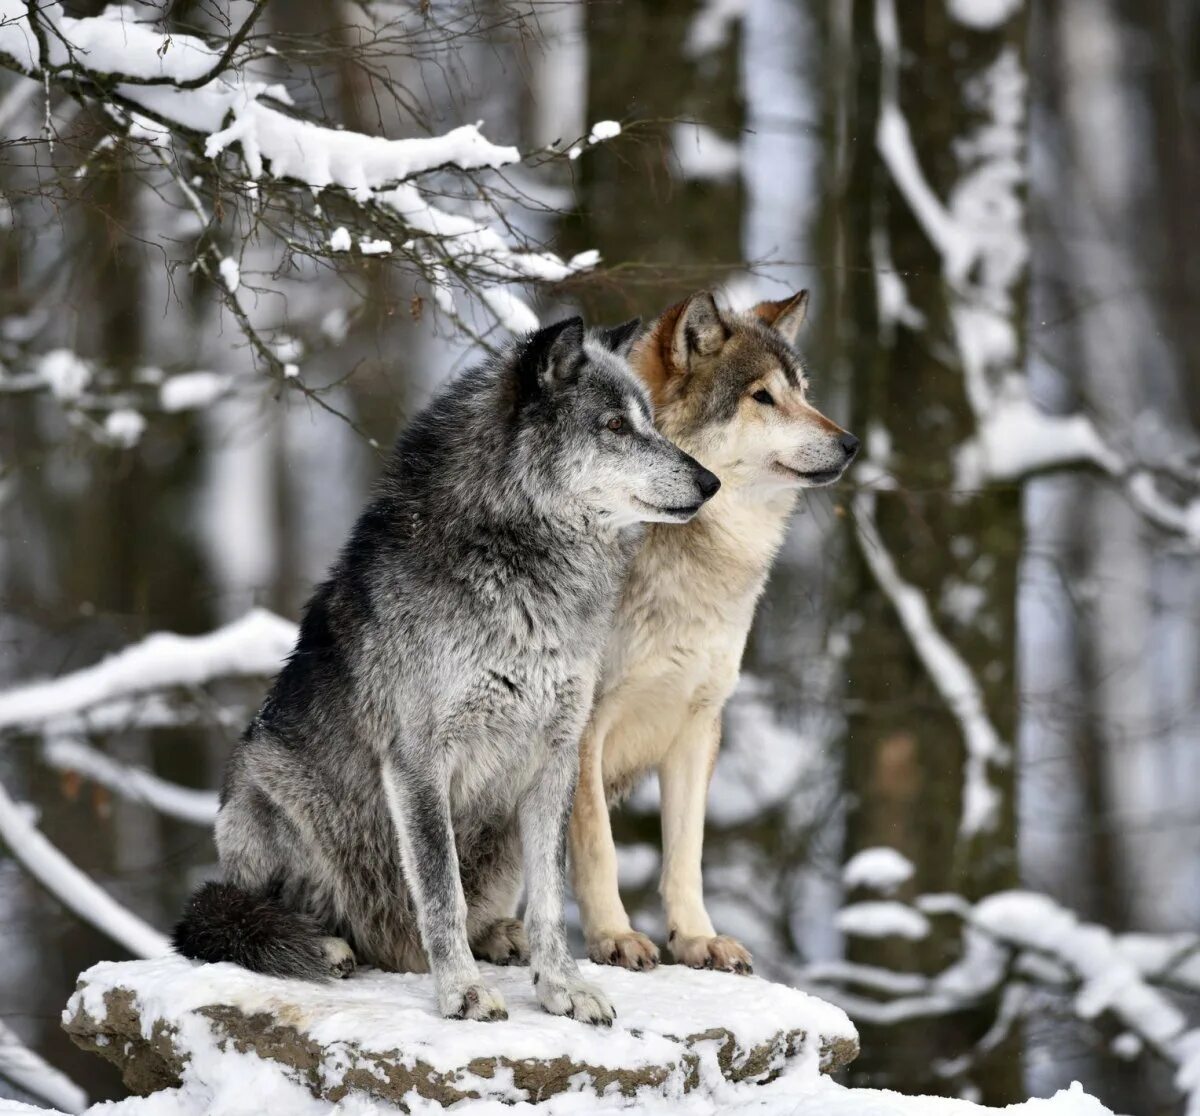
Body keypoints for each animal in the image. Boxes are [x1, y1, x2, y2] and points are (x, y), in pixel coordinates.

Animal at [172, 316, 715, 1022]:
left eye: (648, 420)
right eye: (616, 426)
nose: (711, 483)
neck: (520, 566)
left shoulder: (557, 756)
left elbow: (549, 902)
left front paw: (561, 986)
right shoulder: (418, 762)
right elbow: (440, 893)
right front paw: (462, 990)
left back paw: (501, 937)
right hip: (273, 791)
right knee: (250, 913)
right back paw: (327, 946)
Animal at [568, 291, 859, 969]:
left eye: (802, 392)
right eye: (762, 397)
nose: (852, 443)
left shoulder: (699, 722)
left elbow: (686, 853)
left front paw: (696, 938)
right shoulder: (582, 724)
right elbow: (598, 844)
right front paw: (614, 935)